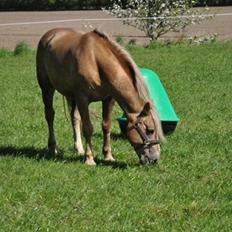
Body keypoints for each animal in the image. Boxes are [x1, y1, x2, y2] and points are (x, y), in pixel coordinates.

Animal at [35, 28, 163, 165]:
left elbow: (106, 126)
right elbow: (88, 128)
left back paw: (78, 149)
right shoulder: (82, 99)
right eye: (150, 130)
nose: (155, 159)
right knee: (50, 116)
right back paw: (53, 148)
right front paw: (89, 159)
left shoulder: (108, 99)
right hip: (47, 88)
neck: (96, 61)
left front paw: (108, 155)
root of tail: (49, 35)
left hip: (71, 96)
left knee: (74, 118)